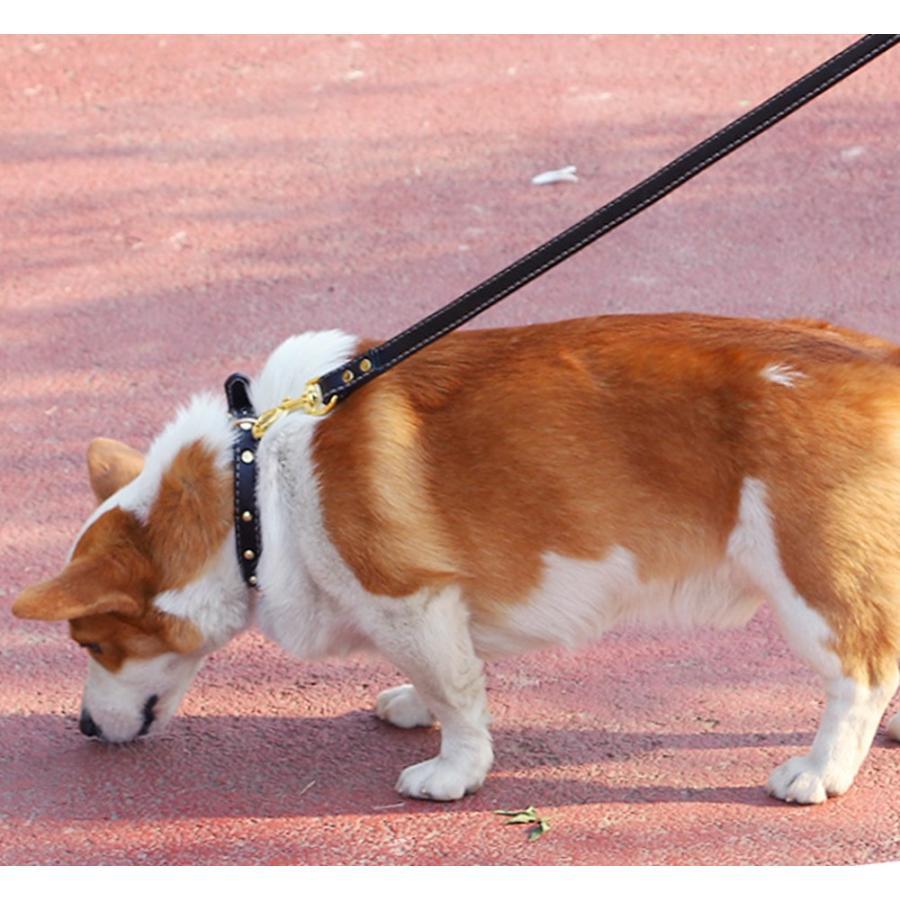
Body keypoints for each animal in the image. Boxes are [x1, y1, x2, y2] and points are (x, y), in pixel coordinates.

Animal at [12, 312, 900, 804]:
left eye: (93, 643)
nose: (83, 726)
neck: (249, 490)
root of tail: (877, 357)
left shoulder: (409, 595)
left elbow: (459, 695)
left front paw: (453, 773)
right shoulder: (438, 610)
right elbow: (451, 675)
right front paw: (413, 705)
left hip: (807, 579)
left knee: (861, 674)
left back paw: (820, 773)